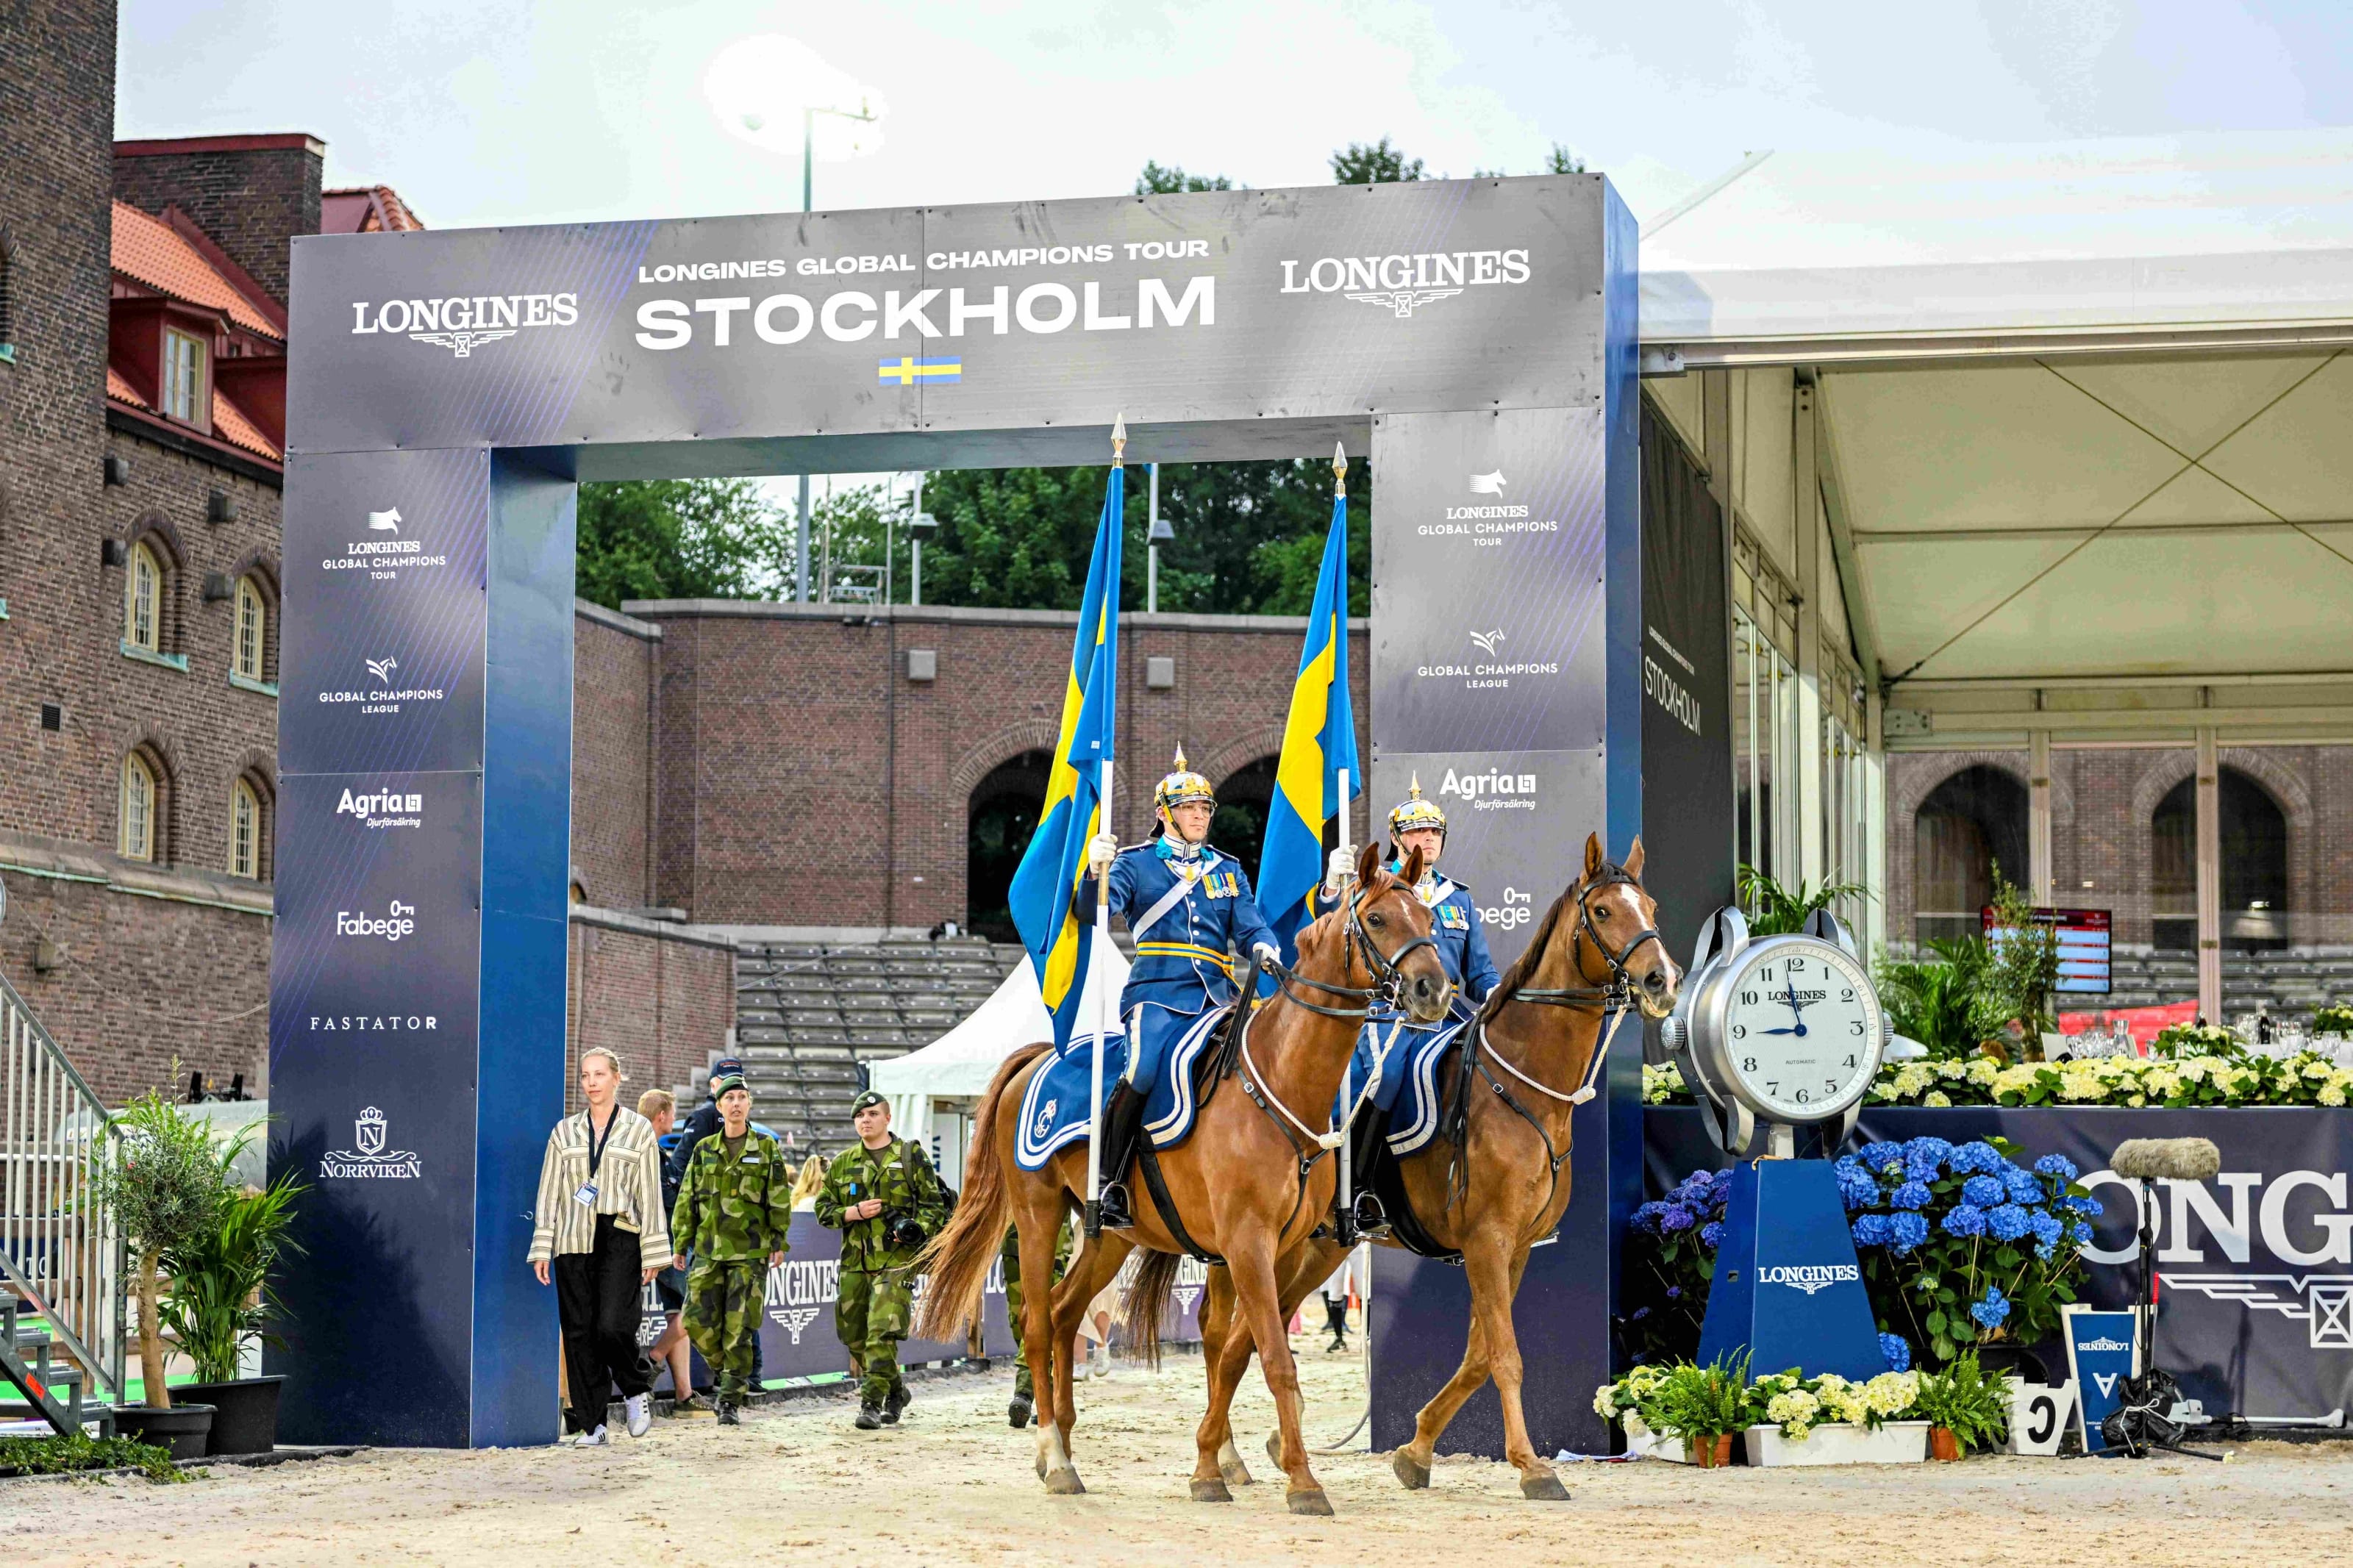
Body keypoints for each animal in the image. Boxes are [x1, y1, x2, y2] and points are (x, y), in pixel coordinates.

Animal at [913, 846, 1449, 1523]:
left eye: (1425, 916)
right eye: (1377, 918)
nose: (1435, 989)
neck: (1280, 1084)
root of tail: (1042, 1053)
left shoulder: (1285, 1248)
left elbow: (1237, 1352)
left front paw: (1213, 1466)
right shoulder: (1247, 1243)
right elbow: (1273, 1359)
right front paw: (1301, 1481)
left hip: (1109, 1234)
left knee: (1064, 1313)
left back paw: (1062, 1446)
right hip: (1037, 1215)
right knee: (1036, 1323)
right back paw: (1056, 1458)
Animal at [1195, 841, 1675, 1504]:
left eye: (1649, 905)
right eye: (1603, 910)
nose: (1662, 980)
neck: (1522, 1086)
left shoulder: (1516, 1247)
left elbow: (1478, 1354)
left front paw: (1416, 1450)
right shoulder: (1487, 1240)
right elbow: (1505, 1354)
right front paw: (1532, 1465)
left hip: (1314, 1248)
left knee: (1243, 1336)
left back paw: (1248, 1451)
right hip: (1256, 1244)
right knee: (1225, 1334)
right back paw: (1225, 1458)